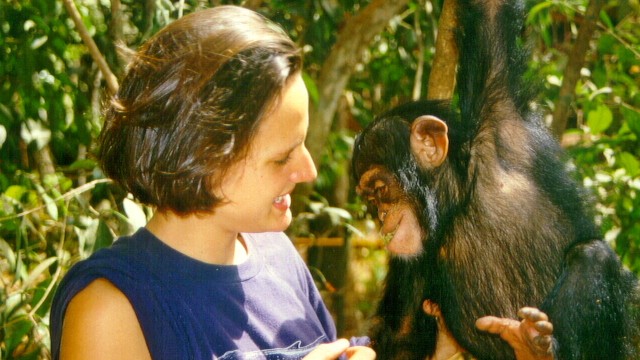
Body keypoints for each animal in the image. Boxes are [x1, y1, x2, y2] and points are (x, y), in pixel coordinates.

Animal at [352, 0, 636, 360]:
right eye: (370, 200)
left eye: (380, 189)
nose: (381, 215)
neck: (458, 204)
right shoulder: (409, 265)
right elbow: (400, 336)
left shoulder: (500, 121)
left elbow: (490, 15)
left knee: (592, 257)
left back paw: (535, 346)